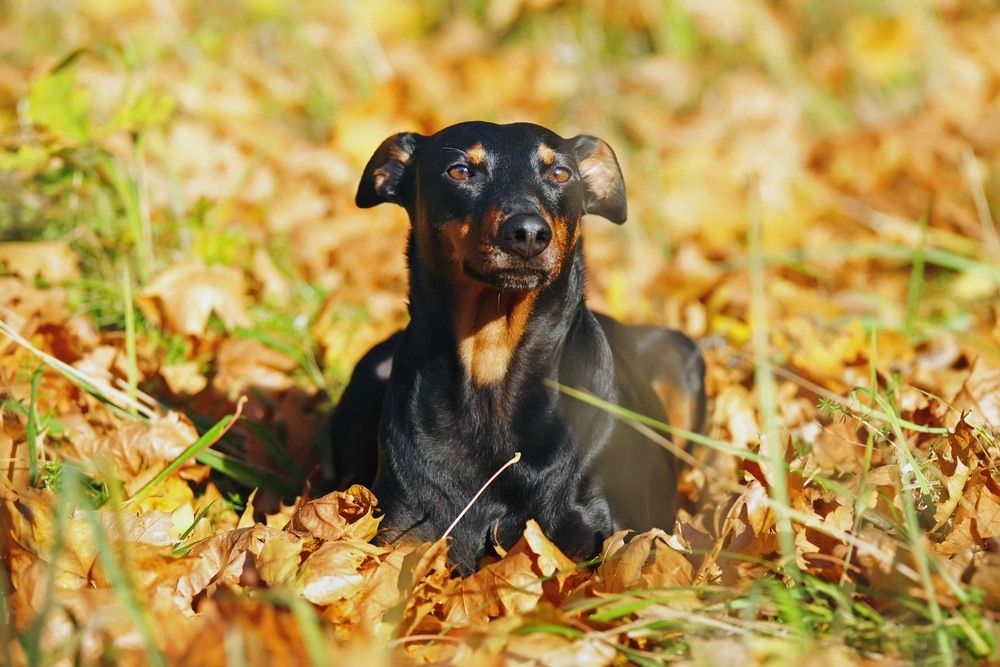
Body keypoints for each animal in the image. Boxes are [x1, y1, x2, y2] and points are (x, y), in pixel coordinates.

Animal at [328, 121, 704, 576]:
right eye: (459, 171)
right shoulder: (404, 537)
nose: (528, 234)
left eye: (560, 173)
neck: (492, 360)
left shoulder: (616, 541)